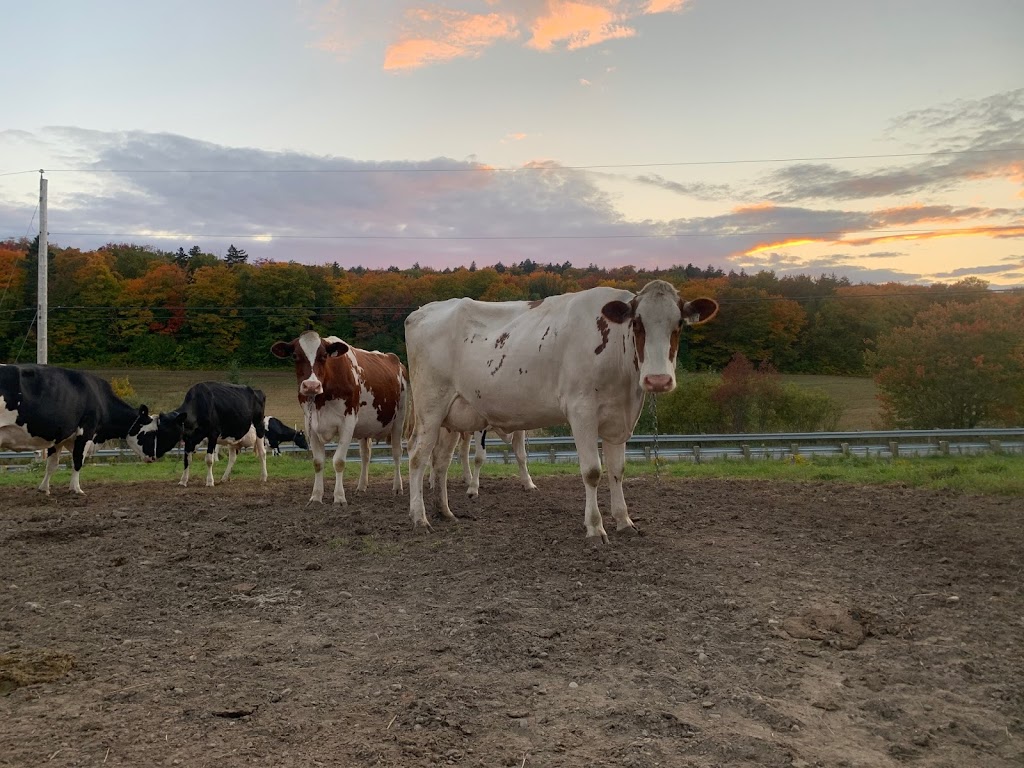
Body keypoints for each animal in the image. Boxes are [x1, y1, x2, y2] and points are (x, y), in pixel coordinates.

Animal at [0, 364, 149, 495]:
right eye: (152, 432)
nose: (153, 457)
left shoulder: (59, 436)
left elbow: (52, 465)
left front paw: (44, 489)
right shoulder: (86, 431)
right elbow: (77, 461)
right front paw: (76, 489)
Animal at [130, 382, 268, 487]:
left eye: (166, 431)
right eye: (158, 430)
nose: (152, 455)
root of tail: (257, 391)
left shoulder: (213, 435)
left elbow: (209, 460)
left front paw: (209, 481)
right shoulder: (189, 439)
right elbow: (187, 460)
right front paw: (183, 481)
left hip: (259, 426)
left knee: (262, 452)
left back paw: (263, 477)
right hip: (233, 437)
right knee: (232, 458)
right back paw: (224, 478)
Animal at [272, 331, 407, 505]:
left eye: (324, 356)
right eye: (295, 355)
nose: (311, 386)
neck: (321, 400)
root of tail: (393, 358)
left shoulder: (347, 423)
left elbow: (339, 461)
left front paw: (339, 497)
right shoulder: (310, 425)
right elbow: (317, 462)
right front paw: (316, 496)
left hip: (399, 419)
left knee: (397, 452)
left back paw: (397, 487)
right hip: (365, 427)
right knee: (365, 455)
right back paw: (361, 487)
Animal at [403, 280, 716, 540]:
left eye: (679, 324)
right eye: (637, 323)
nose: (658, 380)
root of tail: (421, 311)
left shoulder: (618, 420)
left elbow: (617, 470)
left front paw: (624, 520)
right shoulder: (582, 411)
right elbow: (592, 471)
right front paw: (595, 527)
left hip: (452, 416)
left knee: (440, 462)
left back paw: (444, 511)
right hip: (430, 407)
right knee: (418, 457)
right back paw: (419, 518)